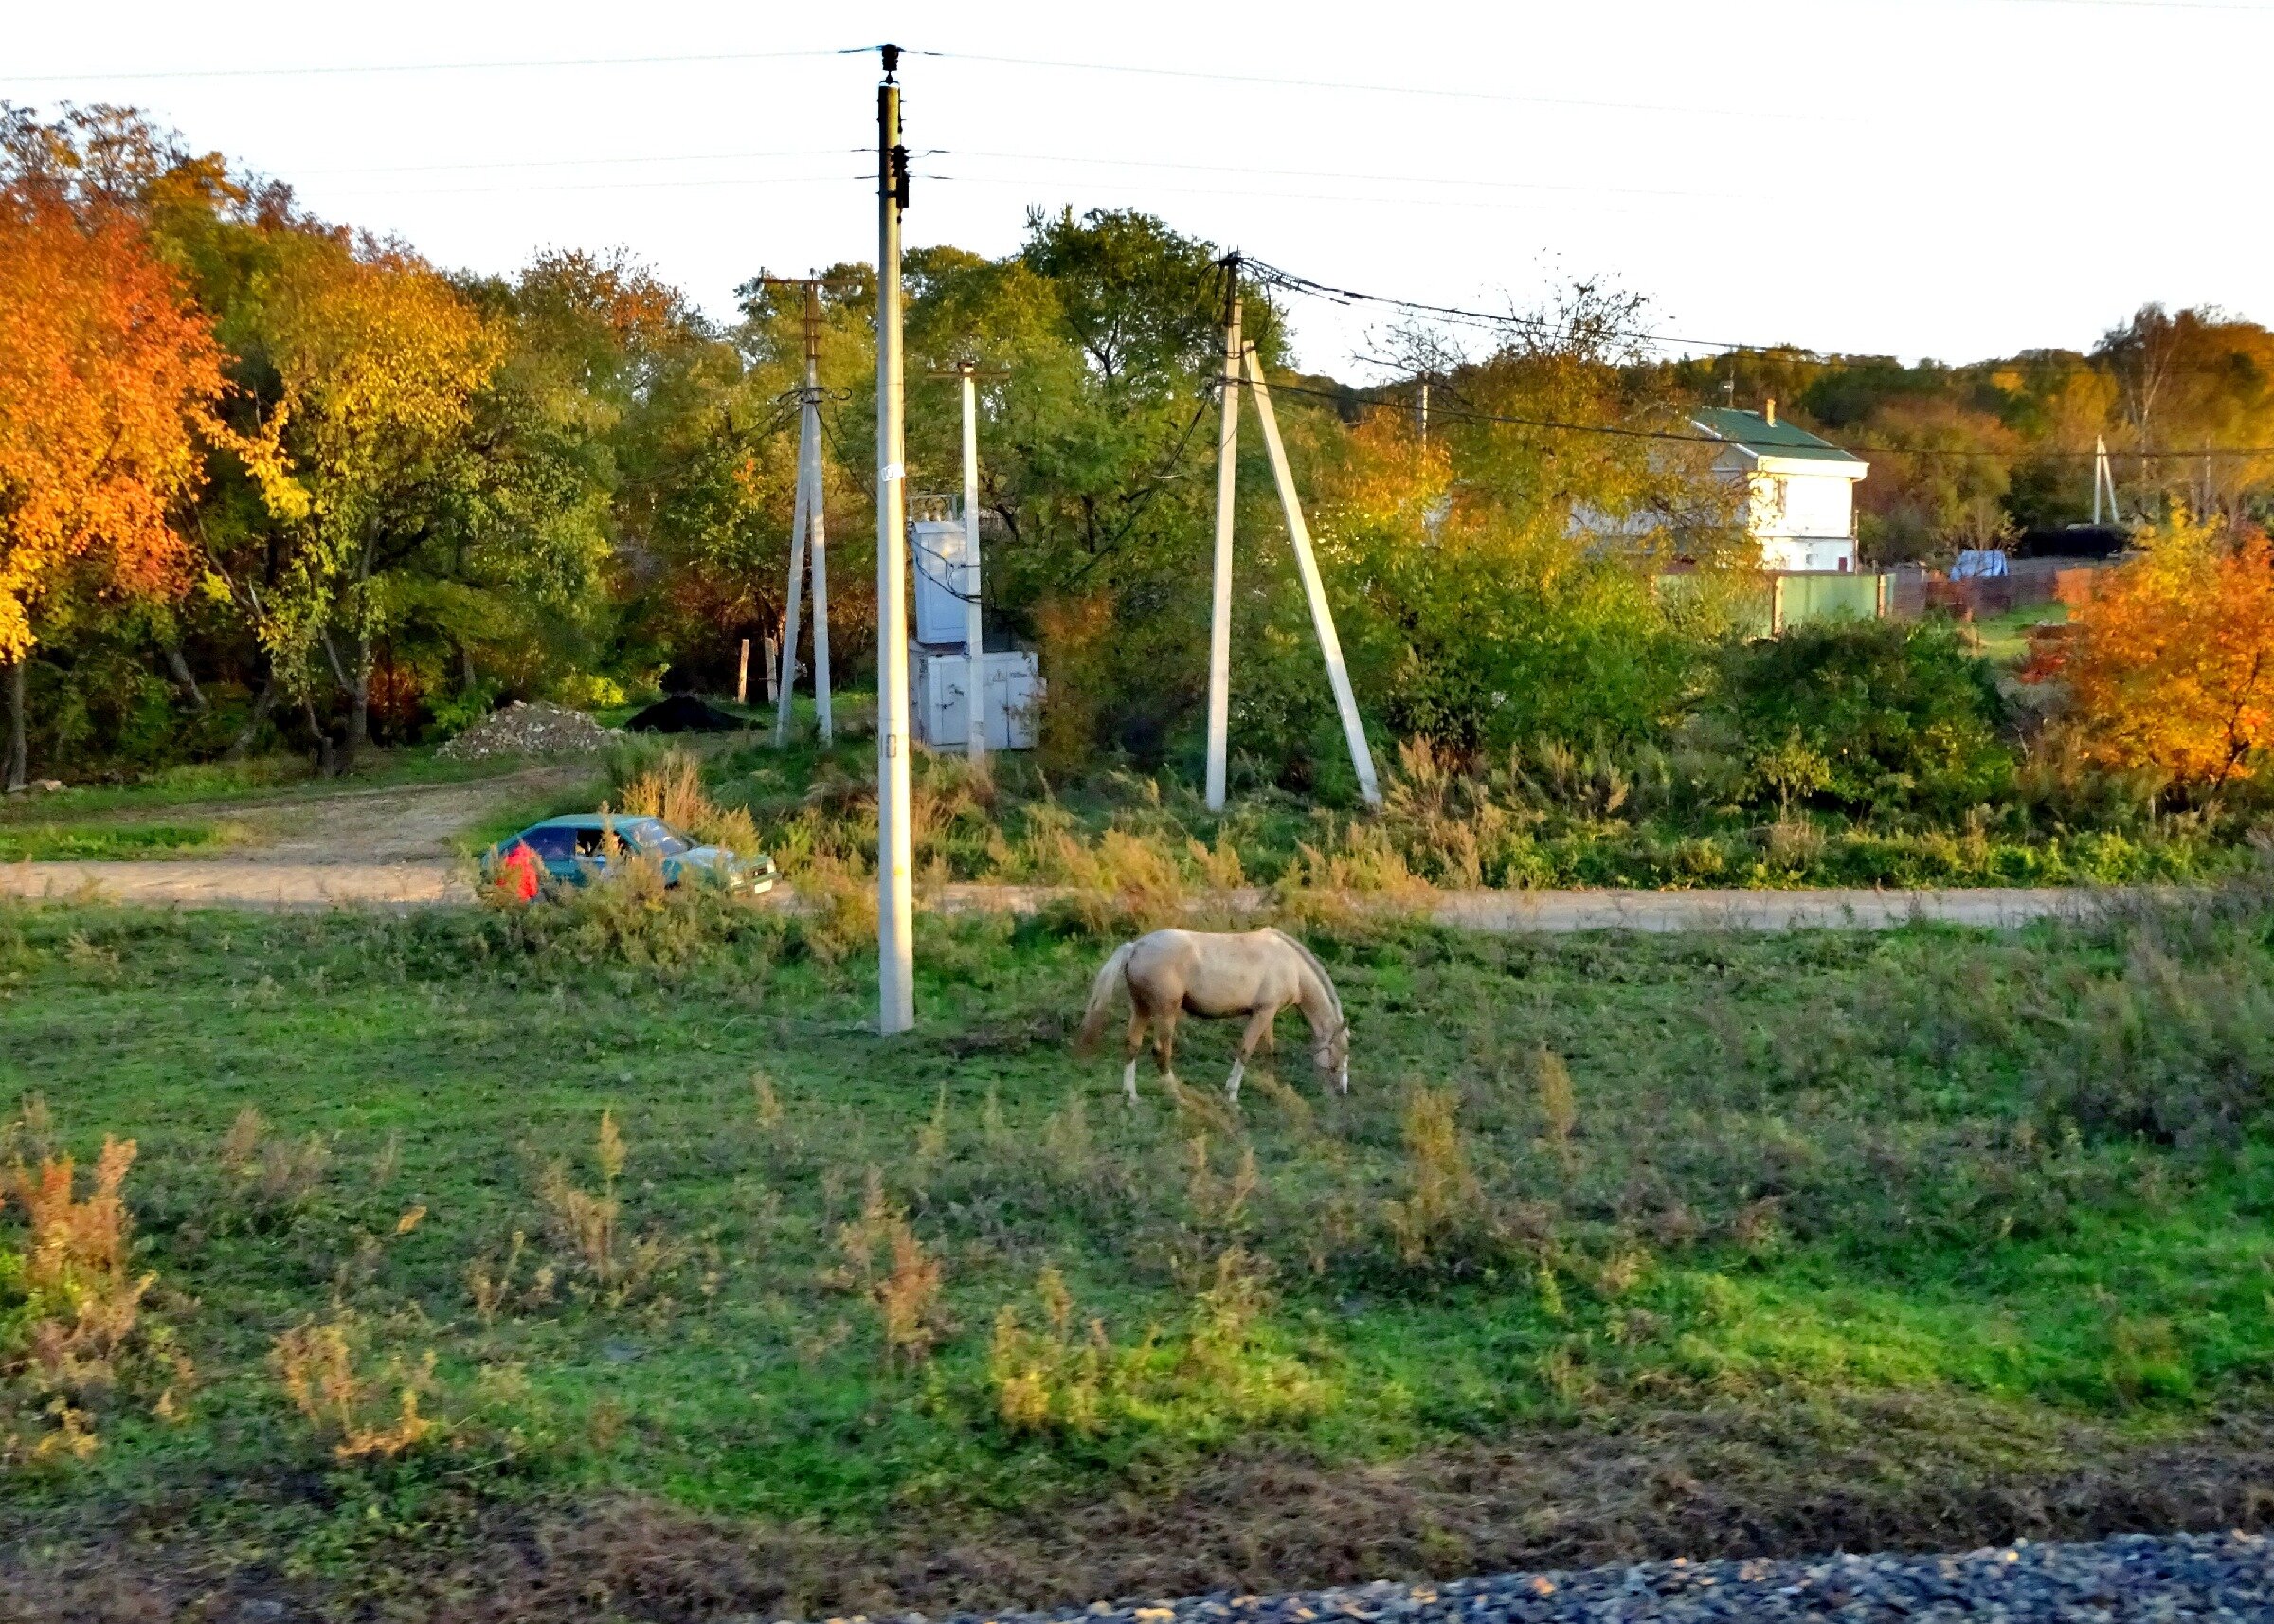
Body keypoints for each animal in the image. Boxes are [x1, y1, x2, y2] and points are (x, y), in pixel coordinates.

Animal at [1069, 923, 1337, 1100]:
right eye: (1337, 1061)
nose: (1339, 1091)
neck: (1290, 963)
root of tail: (1136, 946)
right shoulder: (1263, 1013)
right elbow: (1246, 1049)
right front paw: (1232, 1095)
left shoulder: (1264, 1014)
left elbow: (1268, 1050)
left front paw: (1270, 1084)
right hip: (1166, 1012)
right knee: (1161, 1050)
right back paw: (1175, 1094)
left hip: (1141, 1008)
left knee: (1132, 1045)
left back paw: (1131, 1096)